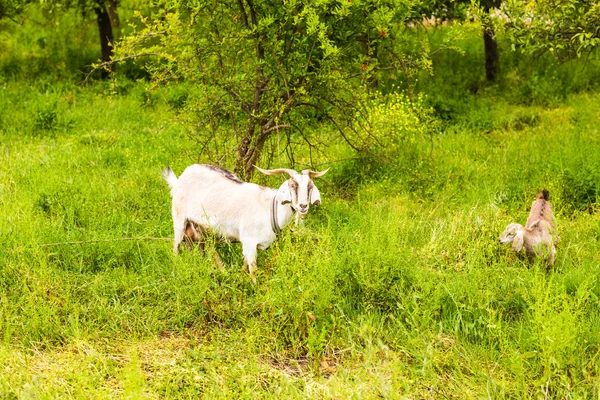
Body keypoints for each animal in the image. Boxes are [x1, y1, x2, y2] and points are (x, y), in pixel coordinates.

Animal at [163, 164, 328, 280]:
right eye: (292, 186)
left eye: (310, 187)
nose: (303, 206)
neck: (270, 209)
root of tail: (180, 178)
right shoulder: (249, 242)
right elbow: (253, 270)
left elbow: (244, 266)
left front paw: (239, 281)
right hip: (179, 219)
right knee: (176, 248)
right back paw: (177, 271)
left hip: (200, 228)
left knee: (203, 248)